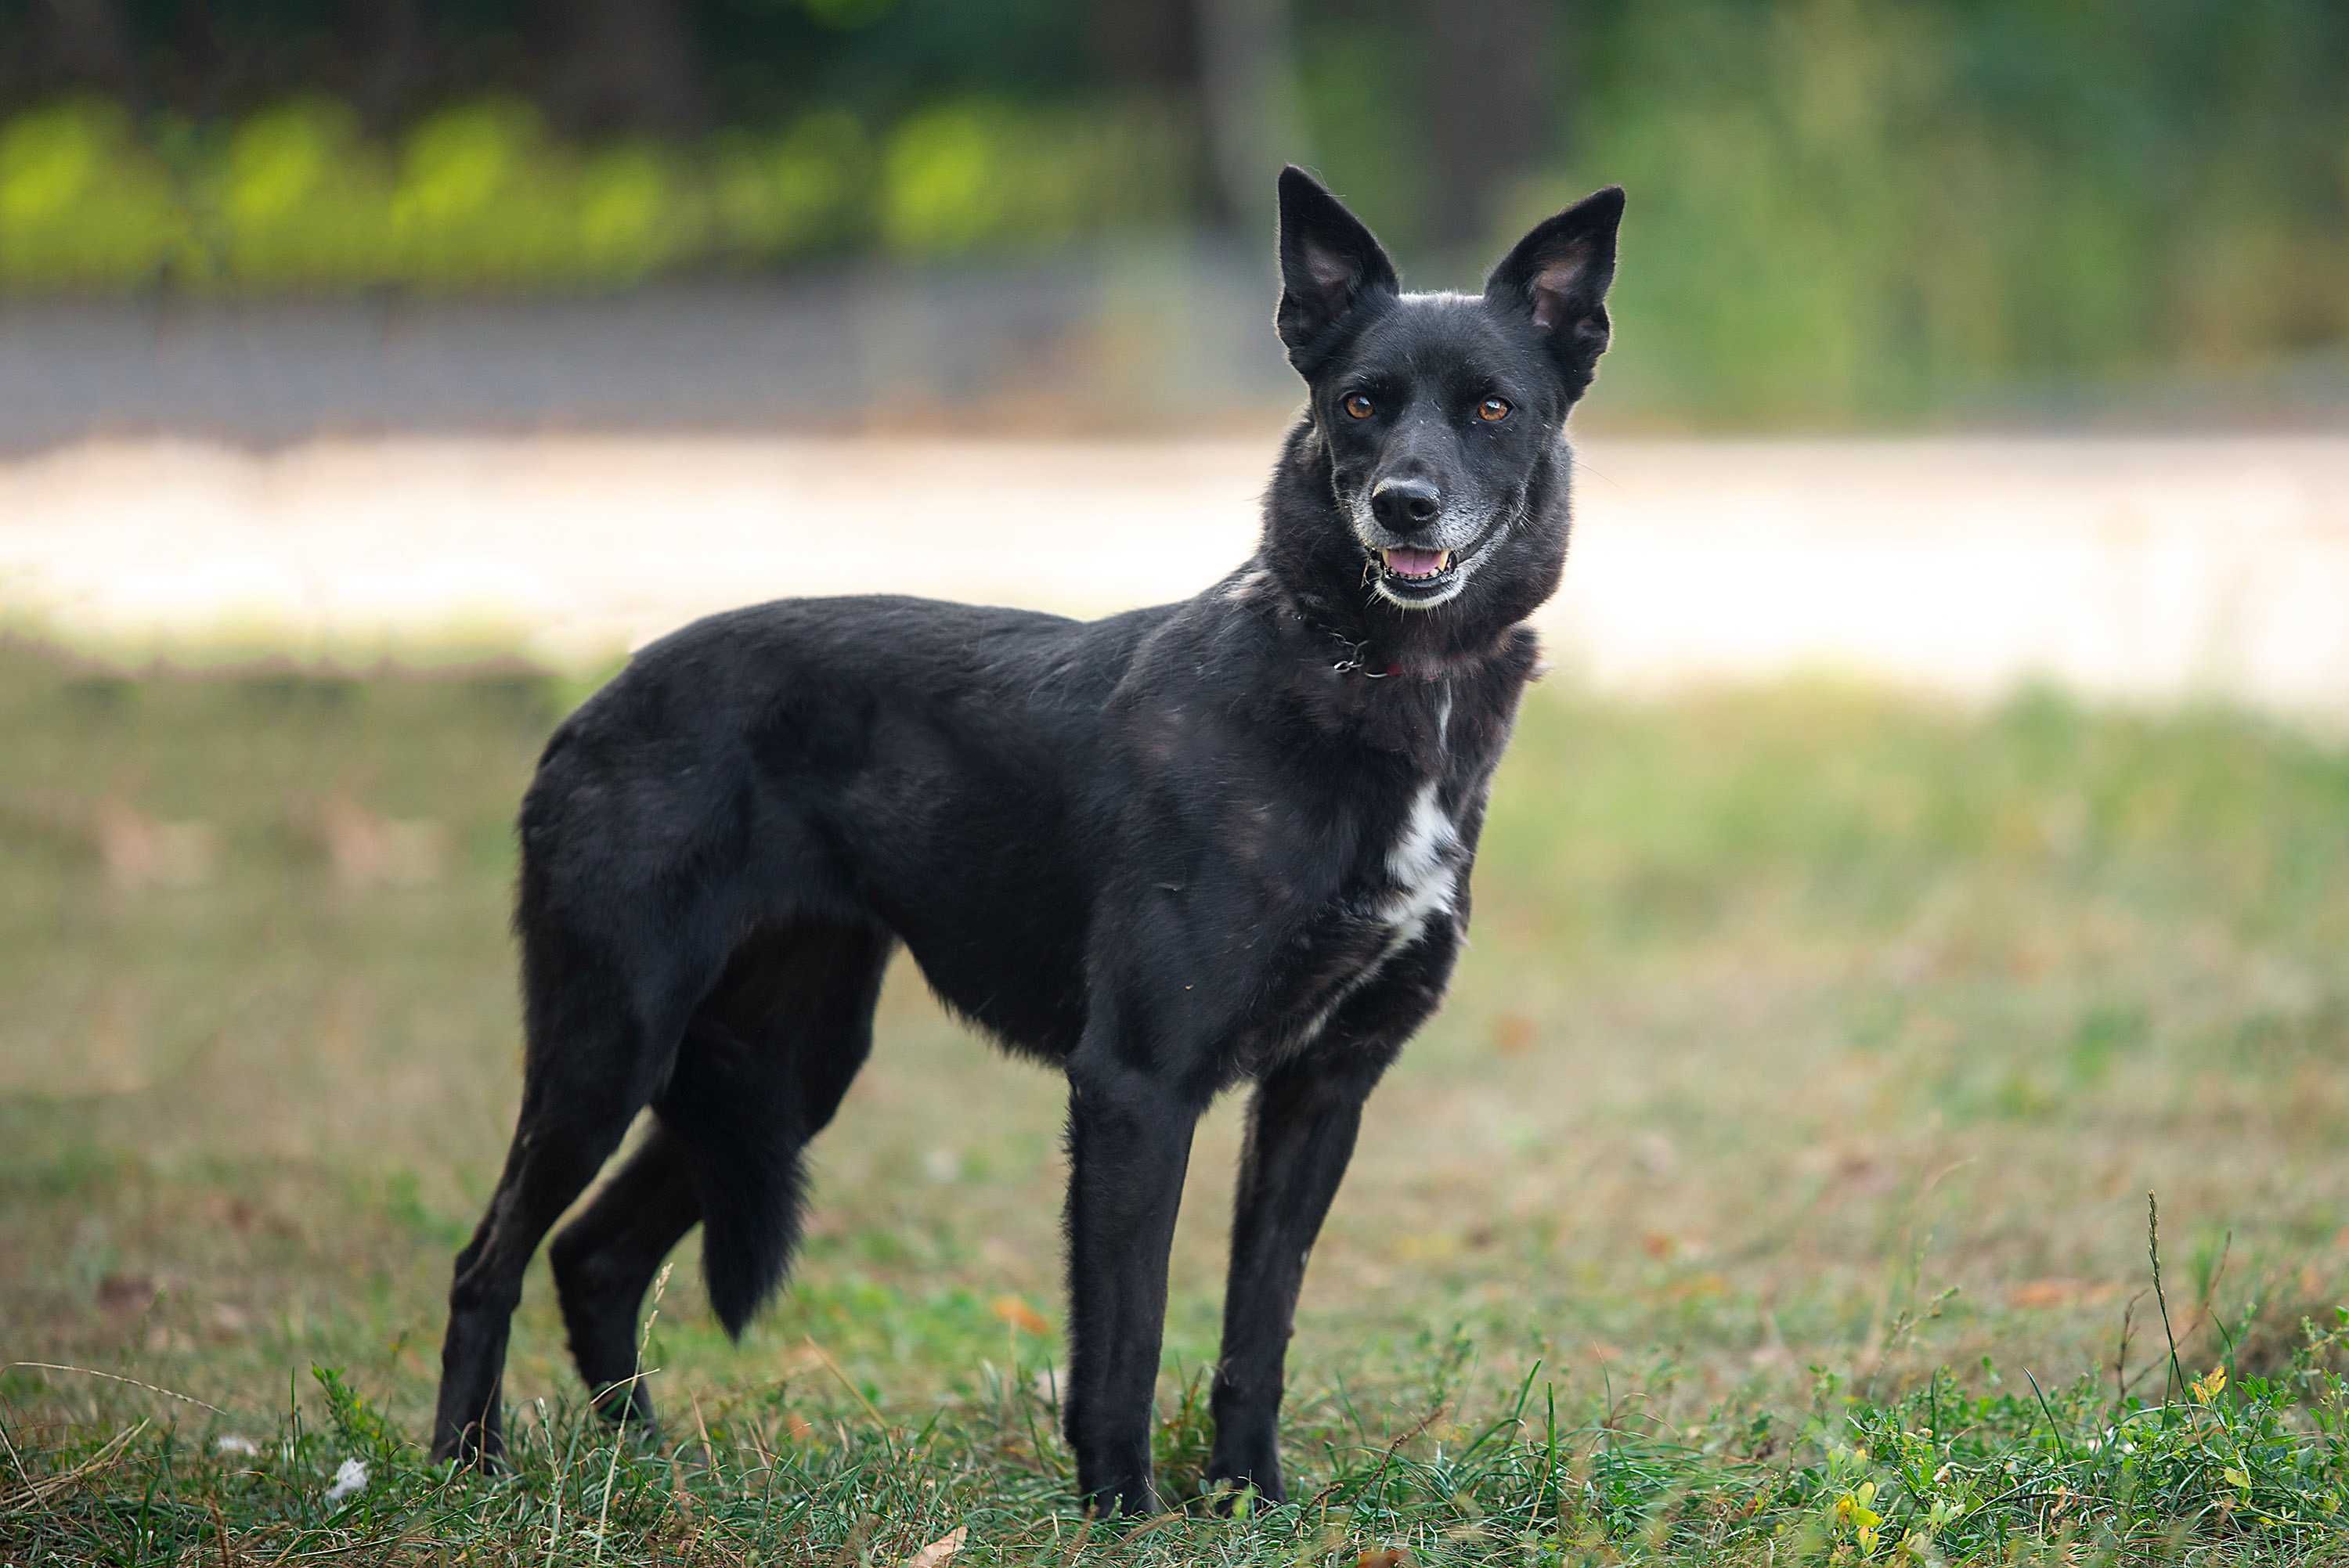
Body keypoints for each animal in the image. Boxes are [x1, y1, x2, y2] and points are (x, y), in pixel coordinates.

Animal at [432, 165, 1626, 1512]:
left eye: (1492, 407)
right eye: (1361, 402)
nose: (1403, 504)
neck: (1366, 676)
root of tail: (591, 703)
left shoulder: (1323, 1088)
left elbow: (1257, 1325)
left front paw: (1248, 1498)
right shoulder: (1135, 1084)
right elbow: (1127, 1329)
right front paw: (1123, 1508)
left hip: (782, 1067)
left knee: (592, 1253)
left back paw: (646, 1469)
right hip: (613, 1042)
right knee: (488, 1257)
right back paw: (466, 1467)